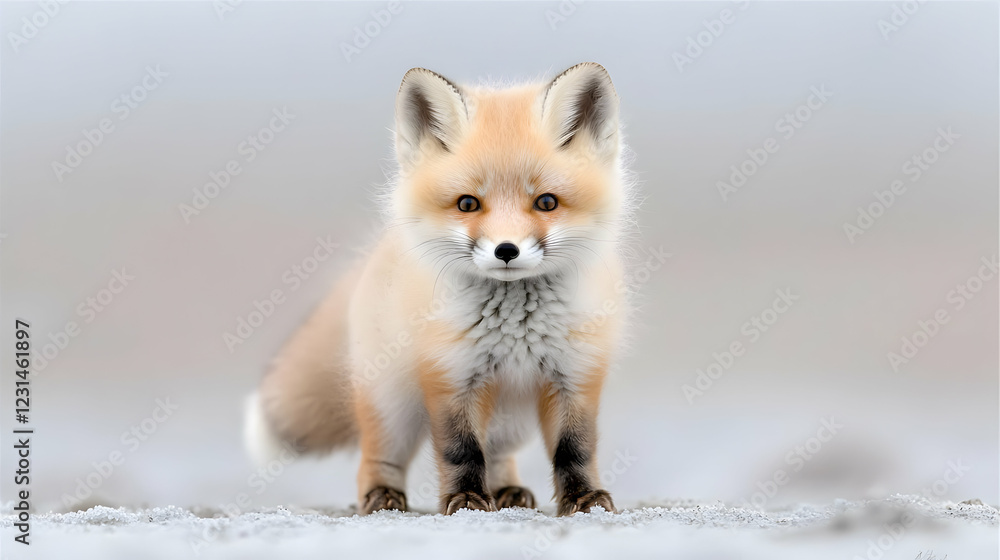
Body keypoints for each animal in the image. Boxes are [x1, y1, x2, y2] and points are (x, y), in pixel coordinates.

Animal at [244, 62, 635, 516]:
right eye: (467, 204)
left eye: (547, 203)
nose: (506, 250)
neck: (515, 330)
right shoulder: (450, 375)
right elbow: (460, 451)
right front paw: (465, 499)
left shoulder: (575, 374)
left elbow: (574, 449)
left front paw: (584, 497)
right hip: (392, 408)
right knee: (376, 457)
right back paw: (382, 496)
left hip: (511, 420)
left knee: (498, 453)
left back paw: (507, 492)